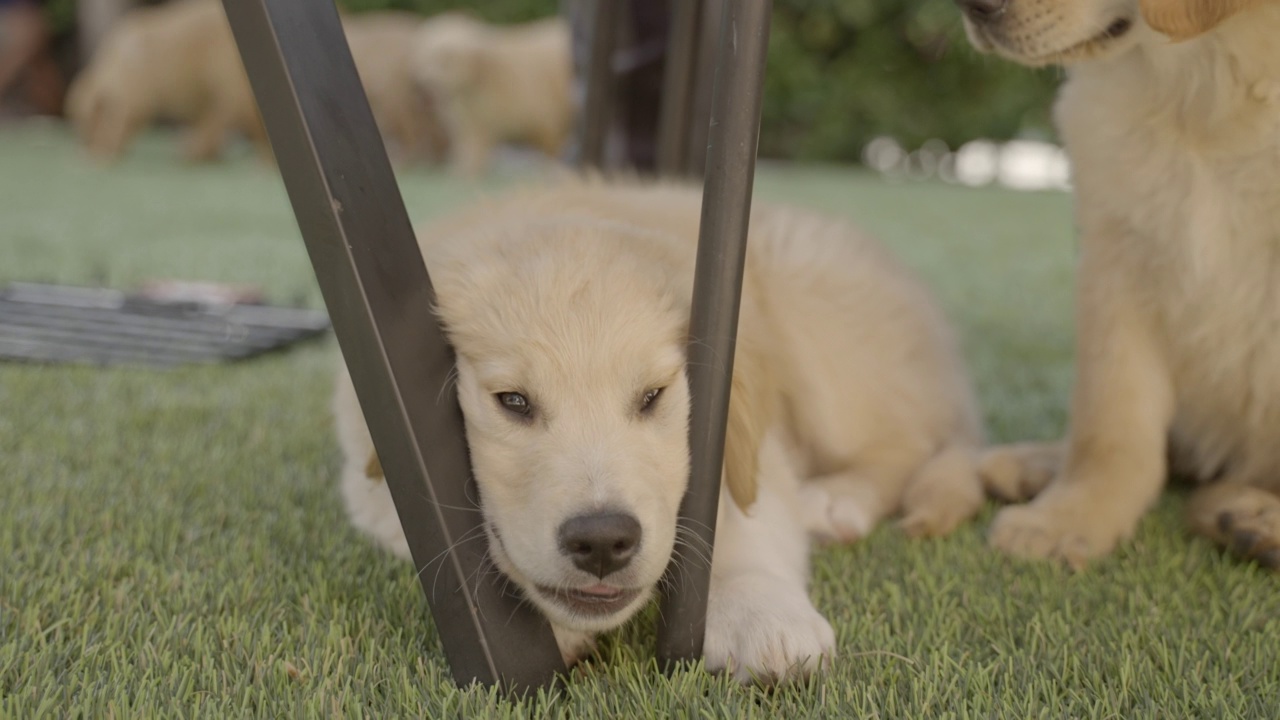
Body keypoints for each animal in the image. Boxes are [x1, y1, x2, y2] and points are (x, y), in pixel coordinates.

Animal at [64, 0, 267, 162]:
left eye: (81, 121)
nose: (82, 142)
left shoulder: (135, 98)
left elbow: (120, 126)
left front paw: (101, 153)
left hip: (229, 83)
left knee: (239, 118)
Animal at [332, 178, 988, 676]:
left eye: (652, 397)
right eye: (513, 402)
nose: (602, 541)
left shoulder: (748, 444)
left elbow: (744, 518)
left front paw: (758, 610)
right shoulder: (369, 480)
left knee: (911, 439)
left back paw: (834, 501)